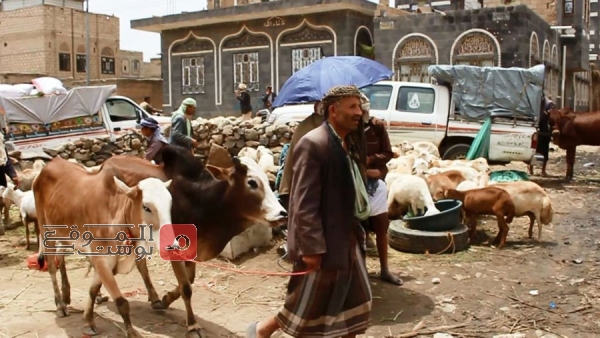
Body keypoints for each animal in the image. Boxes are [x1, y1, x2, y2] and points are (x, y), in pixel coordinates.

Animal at [33, 157, 173, 336]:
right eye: (146, 207)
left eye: (169, 204)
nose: (172, 244)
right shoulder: (102, 260)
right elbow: (121, 302)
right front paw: (131, 332)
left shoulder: (104, 260)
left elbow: (92, 290)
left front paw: (88, 320)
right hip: (46, 231)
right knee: (51, 266)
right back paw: (60, 305)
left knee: (60, 255)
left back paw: (66, 293)